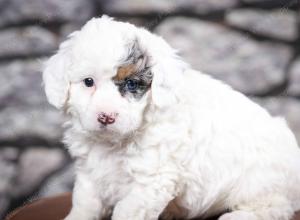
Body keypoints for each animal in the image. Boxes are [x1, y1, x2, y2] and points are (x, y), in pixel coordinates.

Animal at [42, 15, 300, 220]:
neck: (115, 143)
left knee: (275, 207)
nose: (106, 117)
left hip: (261, 184)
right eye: (88, 82)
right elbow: (85, 203)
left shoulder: (150, 180)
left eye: (132, 84)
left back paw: (237, 217)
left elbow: (127, 211)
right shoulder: (90, 171)